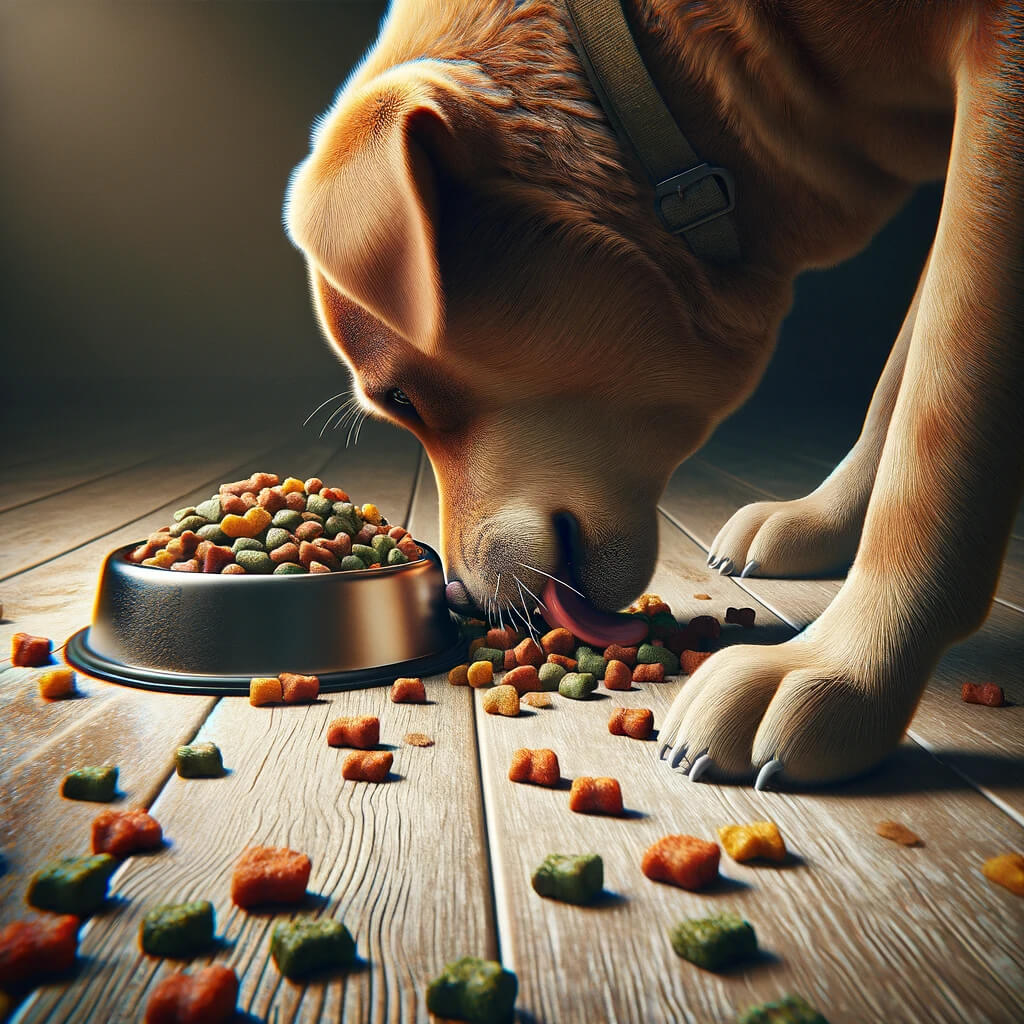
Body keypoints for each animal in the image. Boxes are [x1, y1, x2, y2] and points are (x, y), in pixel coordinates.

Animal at [282, 0, 1024, 782]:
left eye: (400, 398)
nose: (455, 594)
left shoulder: (996, 85)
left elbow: (935, 419)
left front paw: (838, 671)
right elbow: (898, 387)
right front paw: (821, 524)